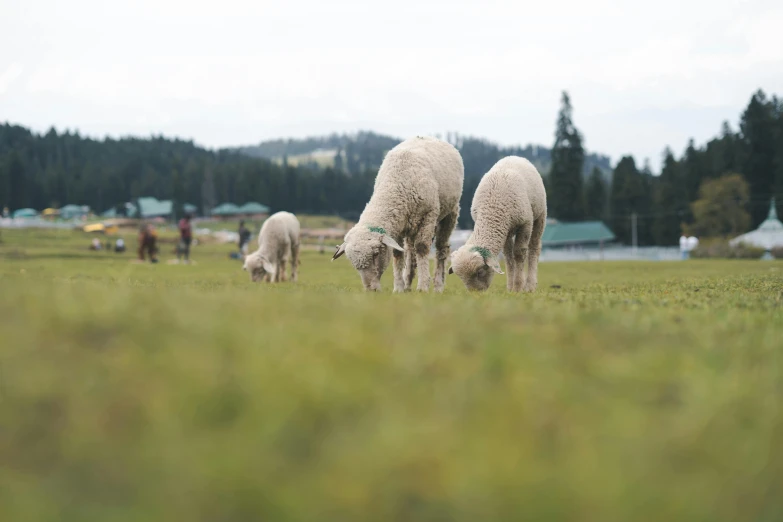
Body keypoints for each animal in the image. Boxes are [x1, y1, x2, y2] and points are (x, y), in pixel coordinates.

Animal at [332, 136, 466, 290]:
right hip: (410, 223)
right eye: (352, 262)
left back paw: (438, 285)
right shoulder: (396, 223)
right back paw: (408, 282)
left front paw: (423, 286)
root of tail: (429, 137)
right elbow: (397, 252)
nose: (371, 289)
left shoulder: (428, 215)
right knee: (410, 251)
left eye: (376, 253)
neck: (395, 184)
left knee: (441, 248)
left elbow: (422, 247)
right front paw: (399, 288)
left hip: (449, 213)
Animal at [448, 154, 544, 292]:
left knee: (534, 248)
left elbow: (519, 253)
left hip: (540, 215)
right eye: (461, 278)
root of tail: (514, 156)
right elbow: (508, 257)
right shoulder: (505, 230)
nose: (476, 294)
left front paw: (518, 287)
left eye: (480, 272)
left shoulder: (525, 223)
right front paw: (510, 288)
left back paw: (530, 286)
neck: (492, 209)